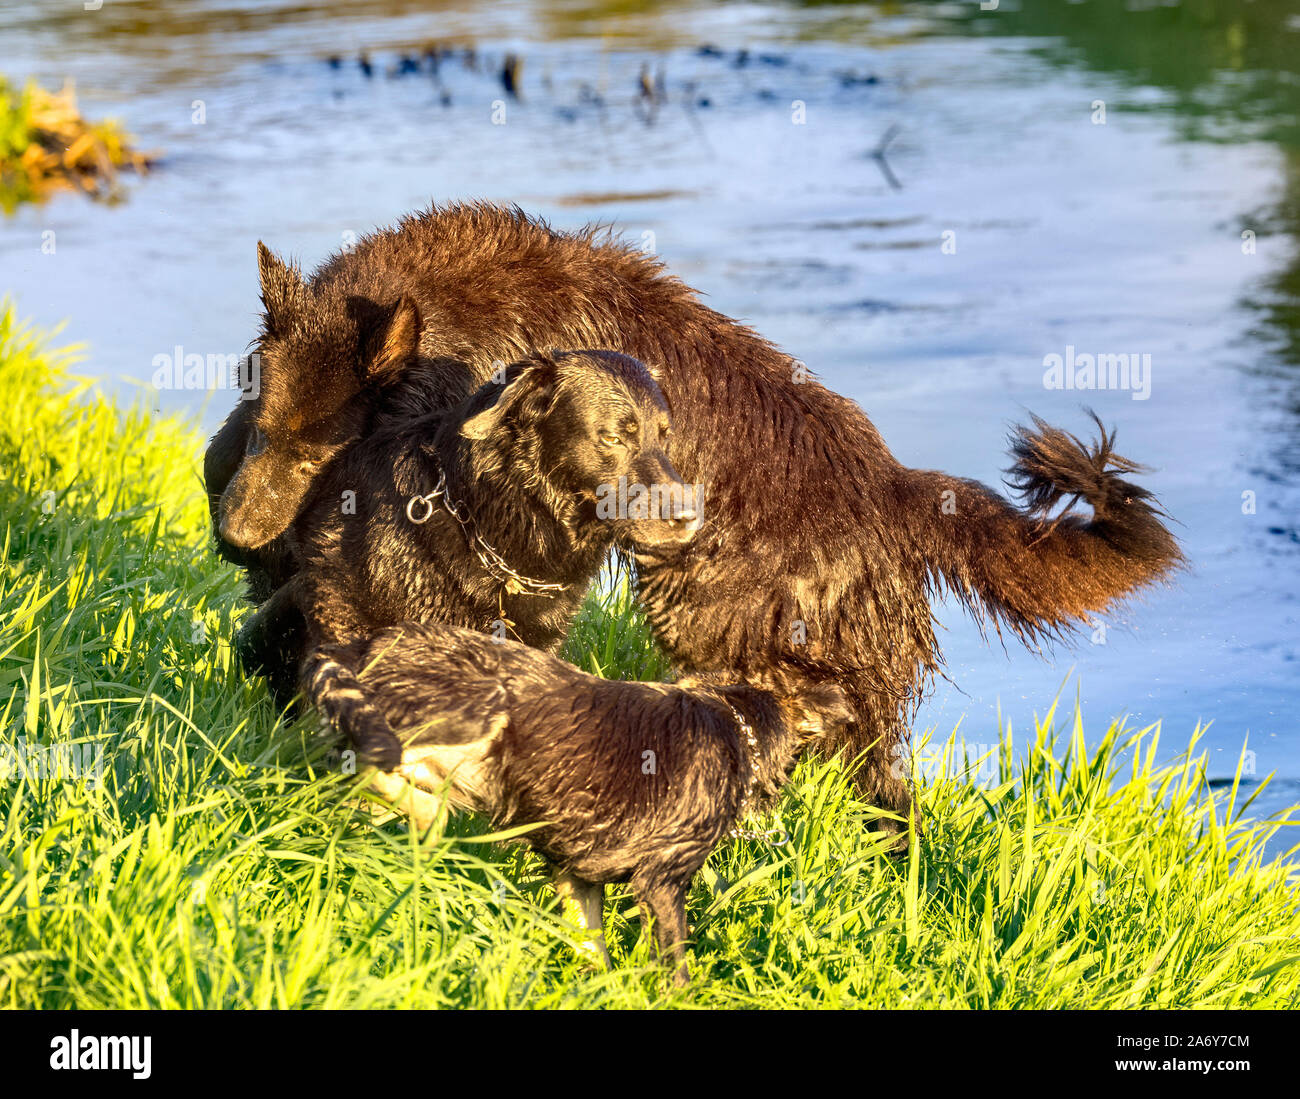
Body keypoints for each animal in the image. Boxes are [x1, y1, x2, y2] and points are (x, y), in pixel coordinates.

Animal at [330, 621, 852, 983]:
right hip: (477, 715)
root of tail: (367, 643)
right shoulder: (662, 879)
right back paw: (427, 817)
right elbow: (676, 962)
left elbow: (592, 950)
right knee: (370, 766)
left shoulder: (576, 875)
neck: (737, 729)